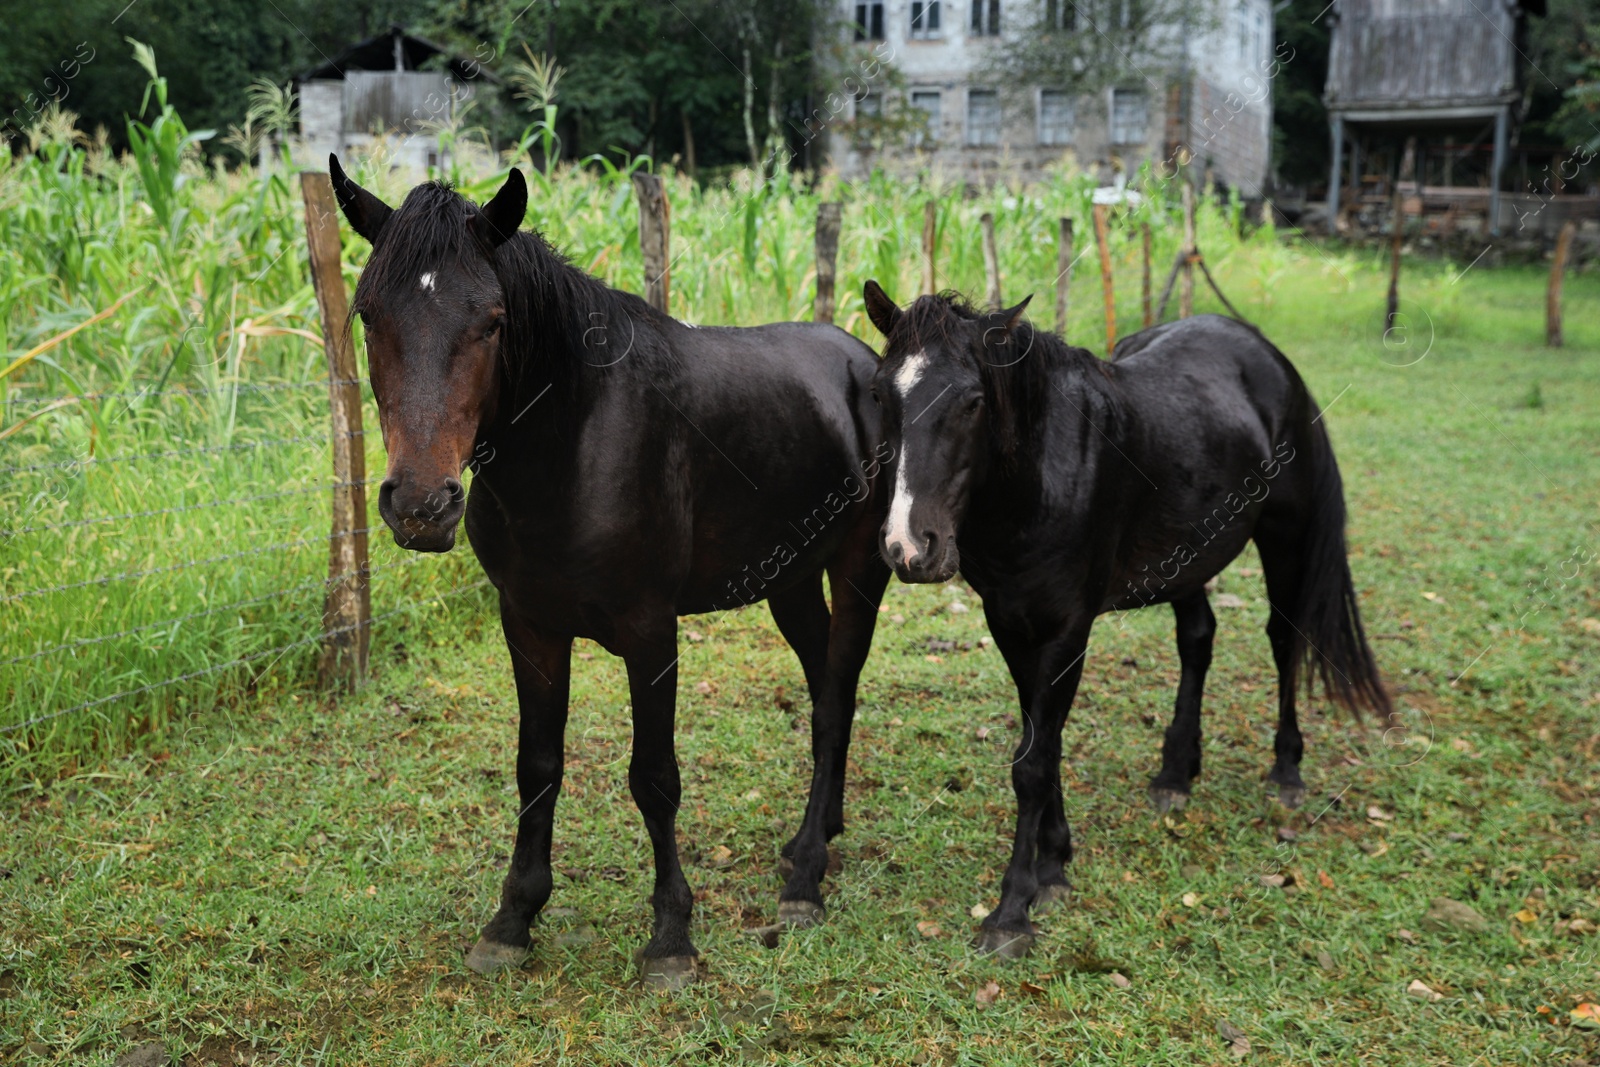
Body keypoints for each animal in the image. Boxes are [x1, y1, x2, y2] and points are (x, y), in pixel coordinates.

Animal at [331, 154, 896, 991]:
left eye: (492, 320)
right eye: (370, 315)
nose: (422, 506)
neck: (575, 440)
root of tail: (868, 362)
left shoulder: (650, 632)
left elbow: (654, 776)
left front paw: (671, 935)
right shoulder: (529, 623)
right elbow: (537, 764)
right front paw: (513, 918)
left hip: (858, 571)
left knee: (834, 698)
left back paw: (806, 877)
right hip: (792, 581)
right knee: (828, 684)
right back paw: (815, 834)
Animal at [864, 283, 1388, 959]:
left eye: (974, 401)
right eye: (881, 394)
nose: (910, 547)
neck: (1041, 475)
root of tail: (1267, 354)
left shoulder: (1067, 628)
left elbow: (1033, 763)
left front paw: (1012, 911)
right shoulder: (1010, 623)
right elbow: (1044, 743)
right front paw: (1054, 865)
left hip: (1285, 537)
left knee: (1283, 641)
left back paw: (1287, 769)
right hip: (1191, 557)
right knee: (1198, 639)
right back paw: (1175, 772)